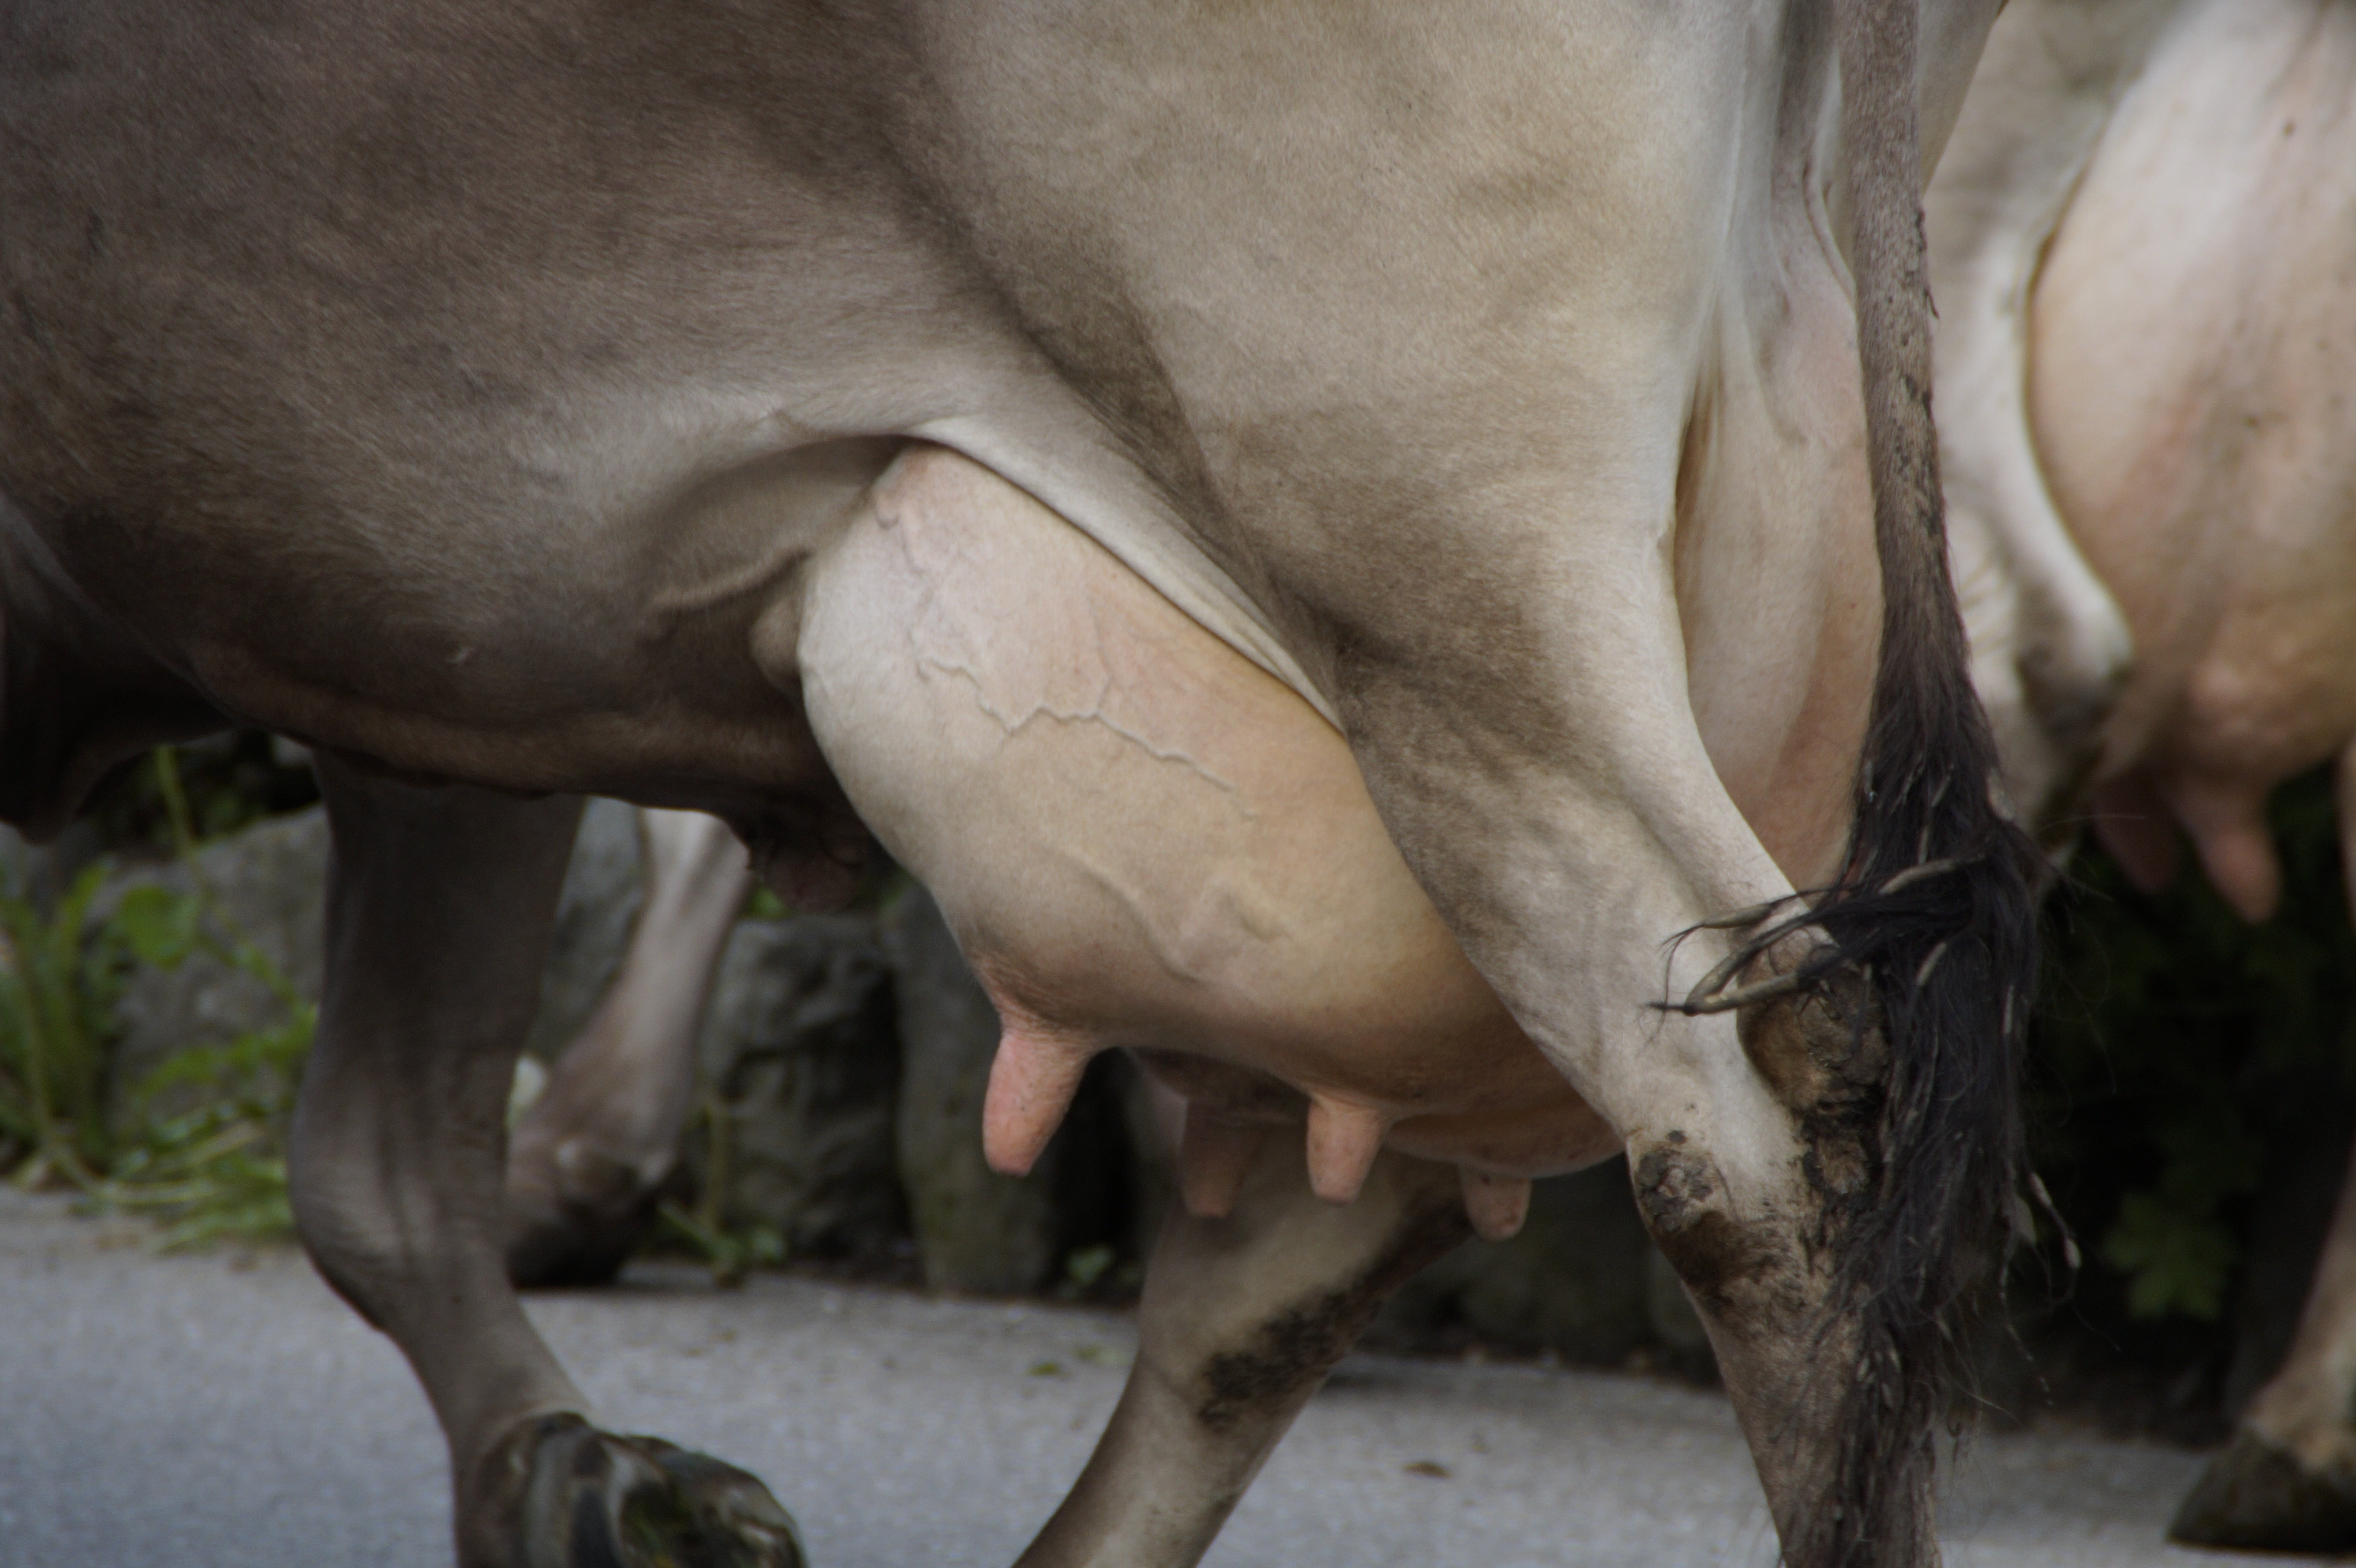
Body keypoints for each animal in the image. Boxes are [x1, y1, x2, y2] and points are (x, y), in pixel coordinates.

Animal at [0, 4, 2031, 1566]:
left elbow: (383, 1149)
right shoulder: (425, 646)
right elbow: (389, 1146)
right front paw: (579, 1477)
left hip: (1441, 561)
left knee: (1751, 1156)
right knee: (1303, 1263)